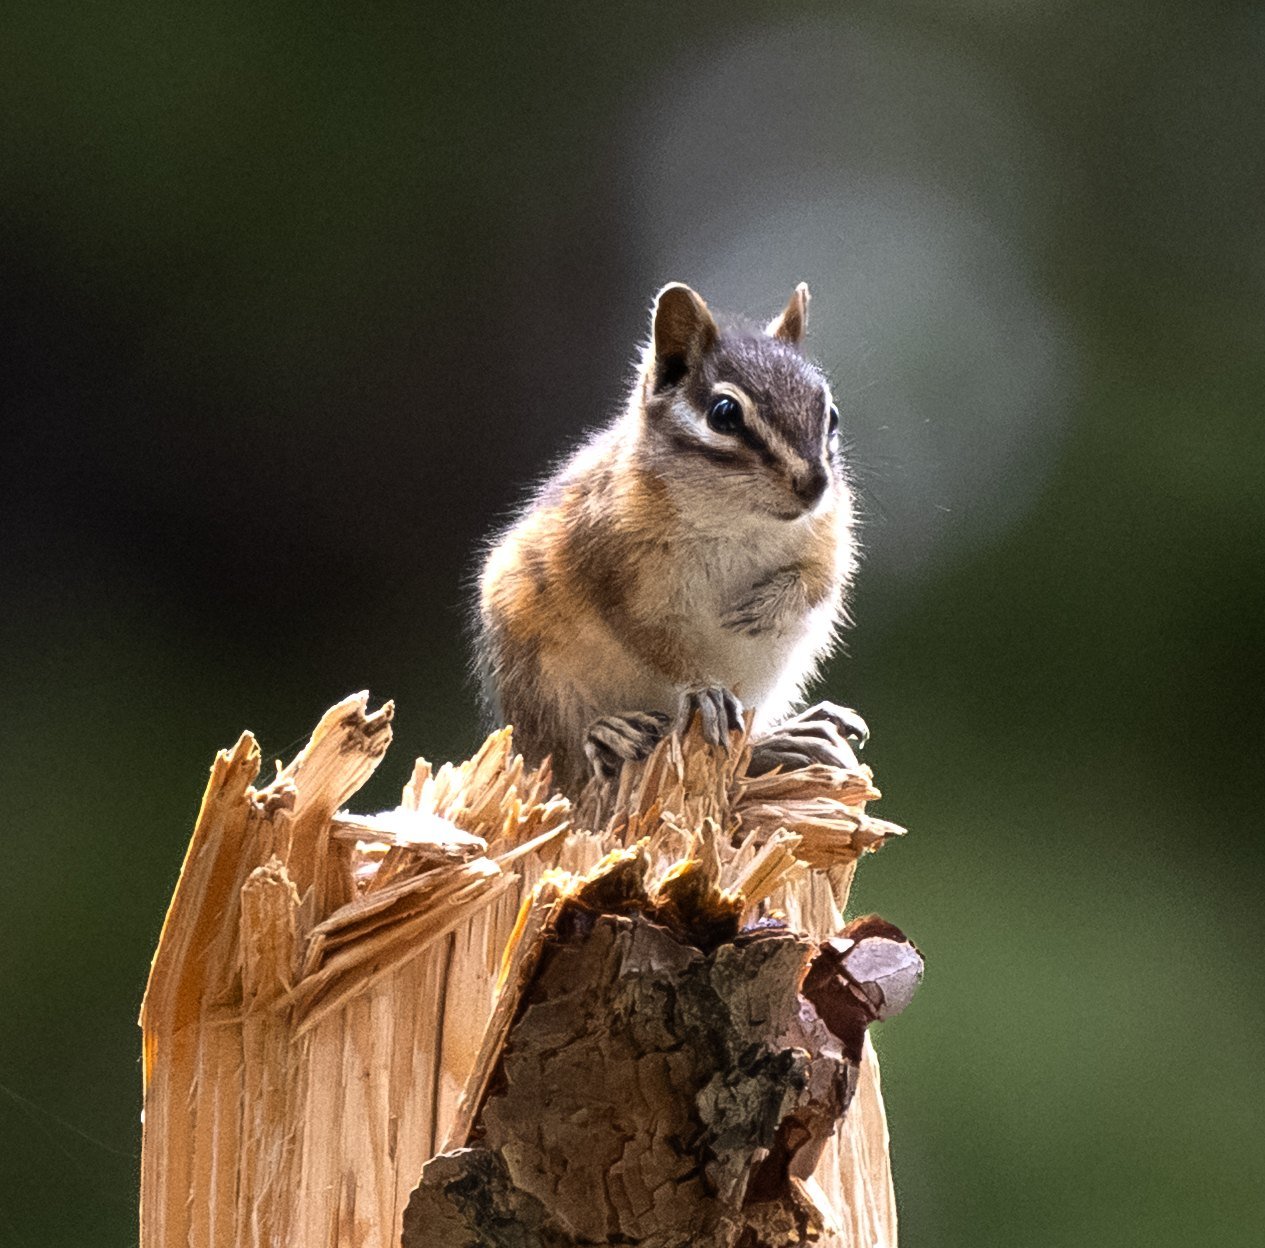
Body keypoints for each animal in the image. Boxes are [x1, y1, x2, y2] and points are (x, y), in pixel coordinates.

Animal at [474, 280, 869, 796]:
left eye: (832, 416)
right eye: (725, 413)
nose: (815, 484)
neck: (738, 519)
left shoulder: (830, 532)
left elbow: (821, 580)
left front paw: (766, 606)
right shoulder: (617, 570)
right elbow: (651, 637)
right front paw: (703, 688)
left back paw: (791, 738)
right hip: (541, 689)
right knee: (566, 757)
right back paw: (606, 735)